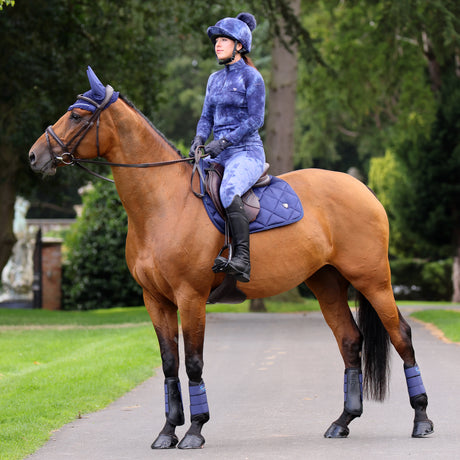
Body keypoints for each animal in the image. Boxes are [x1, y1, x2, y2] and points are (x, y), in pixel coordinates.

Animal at [27, 68, 432, 450]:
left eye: (77, 115)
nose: (34, 156)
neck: (164, 203)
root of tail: (363, 189)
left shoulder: (190, 298)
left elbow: (193, 362)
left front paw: (194, 430)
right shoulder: (155, 300)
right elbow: (169, 364)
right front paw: (167, 431)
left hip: (373, 279)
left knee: (402, 336)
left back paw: (421, 419)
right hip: (327, 283)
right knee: (349, 340)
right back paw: (343, 421)